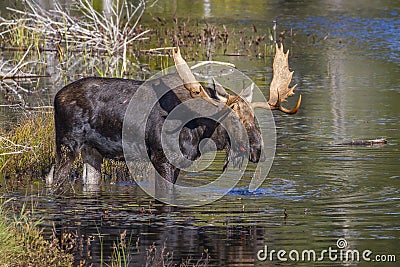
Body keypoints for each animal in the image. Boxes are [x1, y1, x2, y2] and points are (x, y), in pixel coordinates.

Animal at [46, 45, 300, 194]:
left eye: (254, 118)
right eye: (234, 120)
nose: (259, 150)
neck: (199, 136)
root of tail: (57, 96)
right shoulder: (161, 158)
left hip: (92, 151)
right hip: (67, 144)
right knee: (52, 177)